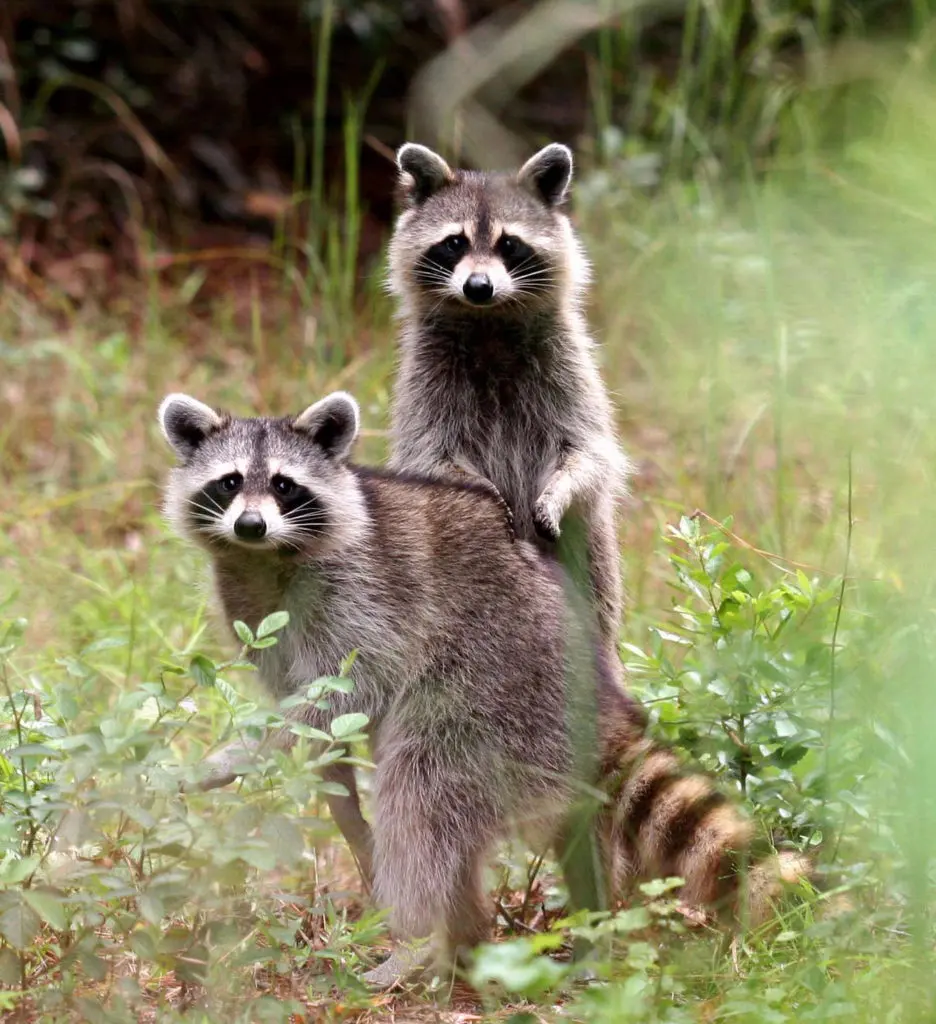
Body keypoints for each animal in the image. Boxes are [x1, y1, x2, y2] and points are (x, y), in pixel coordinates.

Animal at [159, 391, 810, 985]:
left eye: (285, 485)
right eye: (229, 482)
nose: (250, 525)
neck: (268, 557)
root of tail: (596, 693)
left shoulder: (366, 592)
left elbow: (354, 687)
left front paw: (257, 748)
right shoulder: (251, 608)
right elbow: (315, 712)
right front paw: (324, 782)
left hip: (492, 689)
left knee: (420, 792)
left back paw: (418, 940)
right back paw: (464, 941)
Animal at [387, 141, 628, 661]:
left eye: (510, 245)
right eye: (454, 243)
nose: (479, 287)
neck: (489, 322)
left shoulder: (569, 369)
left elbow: (590, 452)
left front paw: (560, 490)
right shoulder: (425, 380)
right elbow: (429, 455)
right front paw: (484, 493)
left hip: (594, 565)